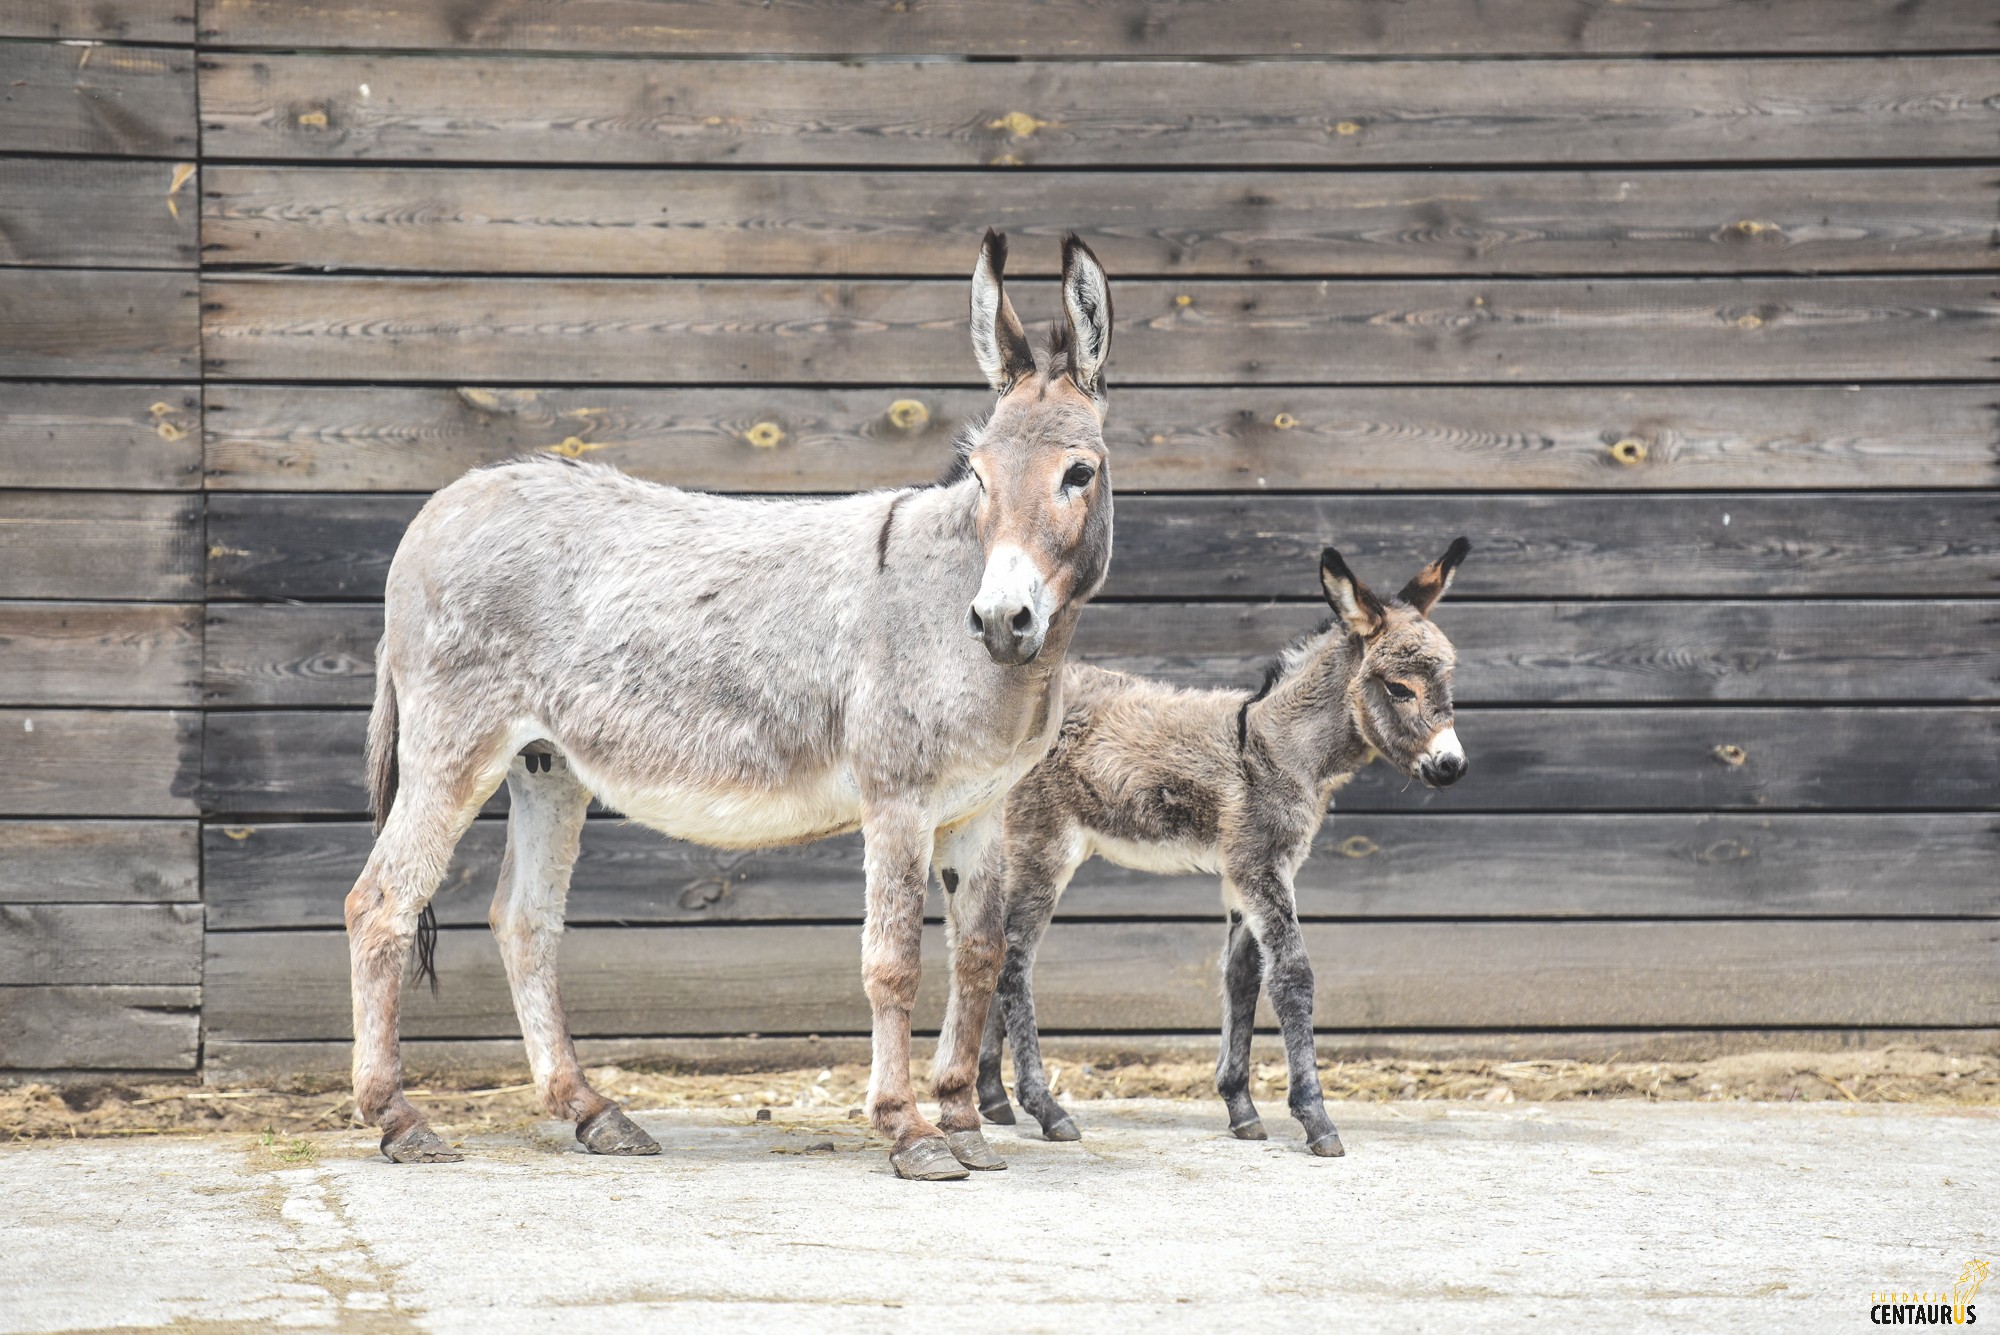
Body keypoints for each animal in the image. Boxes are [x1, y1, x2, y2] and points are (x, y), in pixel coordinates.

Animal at [976, 535, 1480, 1151]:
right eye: (1399, 688)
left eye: (1448, 682)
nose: (1452, 767)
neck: (1275, 748)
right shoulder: (1259, 867)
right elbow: (1292, 975)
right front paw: (1315, 1116)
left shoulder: (1252, 873)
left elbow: (1242, 977)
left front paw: (1240, 1106)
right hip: (1042, 845)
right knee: (1014, 960)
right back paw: (1045, 1108)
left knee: (994, 946)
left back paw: (992, 1098)